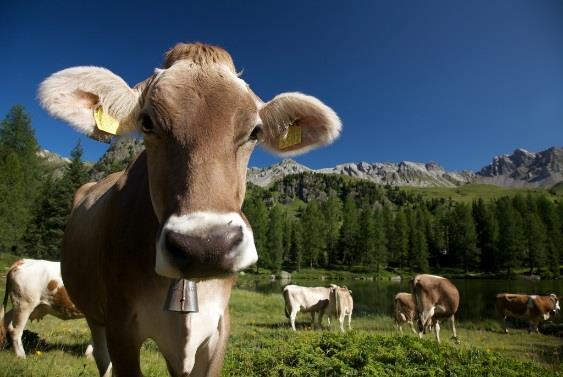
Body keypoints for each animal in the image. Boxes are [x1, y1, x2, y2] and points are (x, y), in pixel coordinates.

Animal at [39, 42, 342, 374]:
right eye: (147, 123)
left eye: (255, 132)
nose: (206, 246)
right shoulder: (121, 326)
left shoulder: (218, 328)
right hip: (94, 314)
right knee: (101, 356)